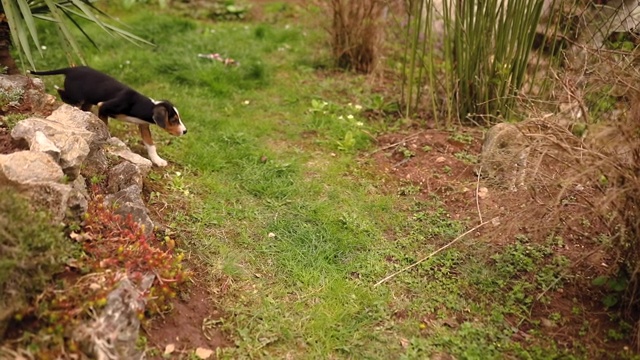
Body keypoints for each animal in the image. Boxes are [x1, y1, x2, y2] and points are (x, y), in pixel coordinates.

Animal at [29, 65, 186, 167]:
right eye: (173, 120)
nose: (185, 131)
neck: (140, 104)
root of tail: (72, 68)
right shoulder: (103, 107)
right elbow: (105, 125)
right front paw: (108, 139)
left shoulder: (143, 125)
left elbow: (150, 144)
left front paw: (157, 160)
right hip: (77, 95)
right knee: (64, 94)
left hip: (87, 101)